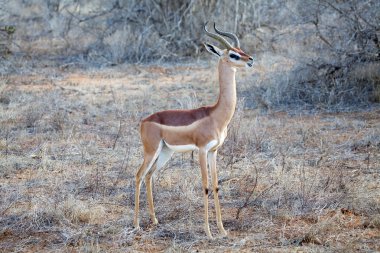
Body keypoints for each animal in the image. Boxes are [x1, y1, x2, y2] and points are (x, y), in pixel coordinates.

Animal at [132, 21, 254, 237]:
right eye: (233, 54)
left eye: (241, 50)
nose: (251, 60)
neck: (215, 115)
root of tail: (145, 120)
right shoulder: (202, 150)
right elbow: (205, 185)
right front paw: (208, 232)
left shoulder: (214, 151)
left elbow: (215, 185)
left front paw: (222, 230)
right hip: (151, 151)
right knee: (138, 176)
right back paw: (136, 224)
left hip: (165, 153)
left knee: (148, 176)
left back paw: (154, 220)